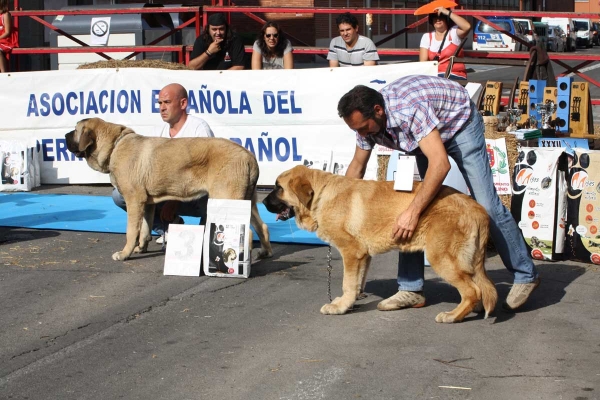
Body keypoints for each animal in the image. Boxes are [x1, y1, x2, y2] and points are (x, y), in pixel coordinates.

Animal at [65, 118, 272, 262]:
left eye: (75, 130)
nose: (65, 136)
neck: (115, 145)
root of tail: (249, 155)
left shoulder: (134, 200)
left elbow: (131, 231)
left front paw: (125, 253)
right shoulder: (146, 203)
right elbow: (145, 228)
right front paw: (141, 248)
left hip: (226, 199)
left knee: (248, 233)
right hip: (247, 200)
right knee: (262, 227)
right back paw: (265, 252)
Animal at [262, 166, 496, 324]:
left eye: (278, 187)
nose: (262, 202)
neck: (320, 196)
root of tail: (477, 209)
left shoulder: (351, 252)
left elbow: (348, 283)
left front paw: (339, 307)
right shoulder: (363, 256)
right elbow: (356, 283)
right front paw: (349, 302)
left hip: (442, 258)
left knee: (472, 290)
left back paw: (452, 316)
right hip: (467, 261)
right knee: (480, 288)